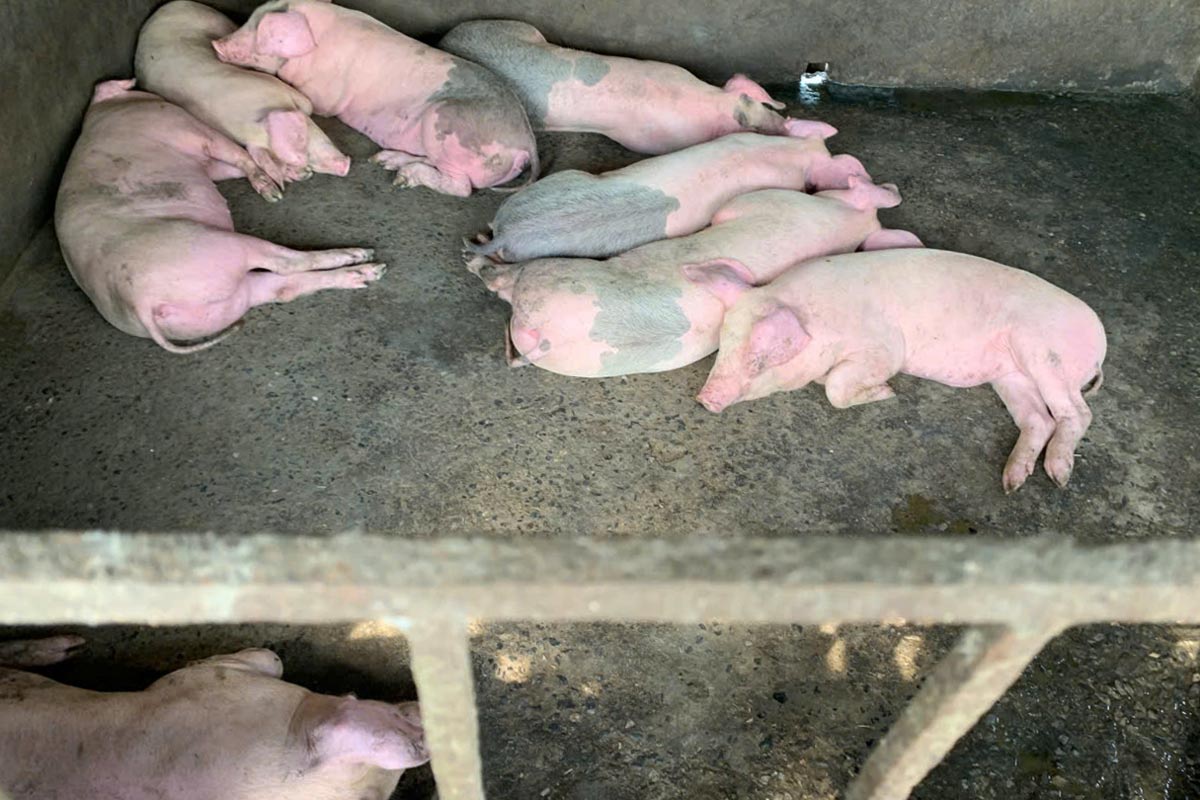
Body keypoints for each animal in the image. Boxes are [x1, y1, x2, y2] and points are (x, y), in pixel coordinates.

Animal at [55, 80, 385, 353]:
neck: (102, 112)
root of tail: (141, 304)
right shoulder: (188, 129)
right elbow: (241, 156)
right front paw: (276, 188)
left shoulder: (206, 160)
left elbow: (238, 164)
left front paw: (288, 176)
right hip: (217, 245)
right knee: (285, 262)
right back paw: (364, 255)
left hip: (222, 305)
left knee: (282, 289)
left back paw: (369, 273)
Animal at [135, 0, 351, 190]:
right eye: (305, 158)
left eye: (303, 141)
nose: (346, 165)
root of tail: (160, 10)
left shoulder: (273, 85)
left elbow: (307, 104)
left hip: (215, 18)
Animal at [212, 0, 537, 196]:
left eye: (260, 29)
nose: (217, 44)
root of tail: (526, 142)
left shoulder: (325, 96)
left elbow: (316, 103)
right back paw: (384, 161)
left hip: (445, 123)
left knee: (462, 187)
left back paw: (403, 178)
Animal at [468, 183, 921, 377]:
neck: (843, 222)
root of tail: (546, 340)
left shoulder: (763, 201)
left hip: (547, 275)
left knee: (507, 280)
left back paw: (480, 264)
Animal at [690, 249, 1106, 491]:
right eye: (724, 343)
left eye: (760, 359)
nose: (705, 399)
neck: (822, 322)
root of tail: (1100, 344)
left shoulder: (885, 346)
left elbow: (836, 386)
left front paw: (888, 391)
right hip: (1010, 376)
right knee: (1039, 419)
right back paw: (1011, 482)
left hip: (1044, 353)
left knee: (1078, 413)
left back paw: (1059, 477)